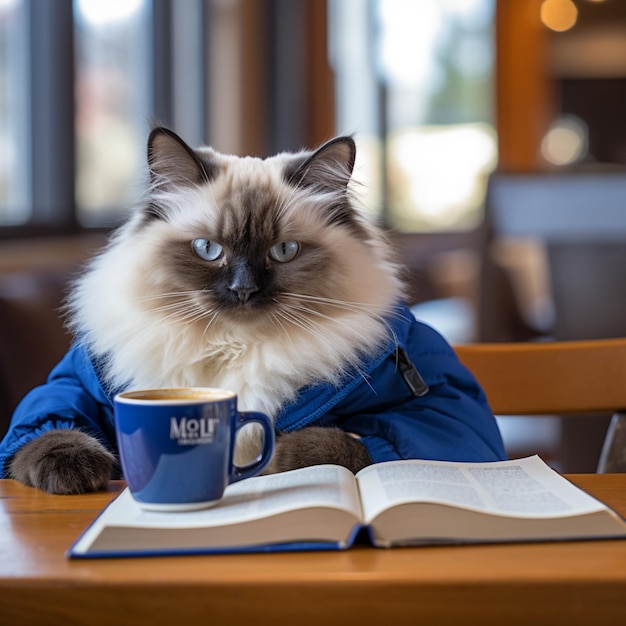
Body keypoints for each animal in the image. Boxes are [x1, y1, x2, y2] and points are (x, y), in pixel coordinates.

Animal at [6, 127, 404, 492]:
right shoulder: (77, 386)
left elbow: (355, 444)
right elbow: (52, 421)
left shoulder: (410, 411)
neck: (234, 345)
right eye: (208, 249)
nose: (243, 289)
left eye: (284, 251)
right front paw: (71, 472)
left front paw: (274, 457)